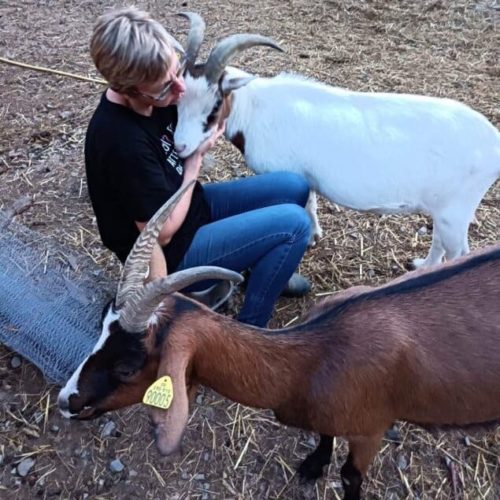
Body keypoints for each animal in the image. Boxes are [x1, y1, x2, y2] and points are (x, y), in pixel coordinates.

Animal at [58, 184, 500, 500]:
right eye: (101, 326)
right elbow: (323, 436)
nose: (66, 400)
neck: (312, 358)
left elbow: (350, 476)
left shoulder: (370, 430)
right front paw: (311, 466)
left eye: (127, 367)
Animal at [173, 13, 500, 268]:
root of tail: (493, 141)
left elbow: (306, 203)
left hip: (454, 212)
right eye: (177, 100)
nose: (180, 146)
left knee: (457, 250)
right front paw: (315, 234)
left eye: (215, 105)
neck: (254, 109)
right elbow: (312, 201)